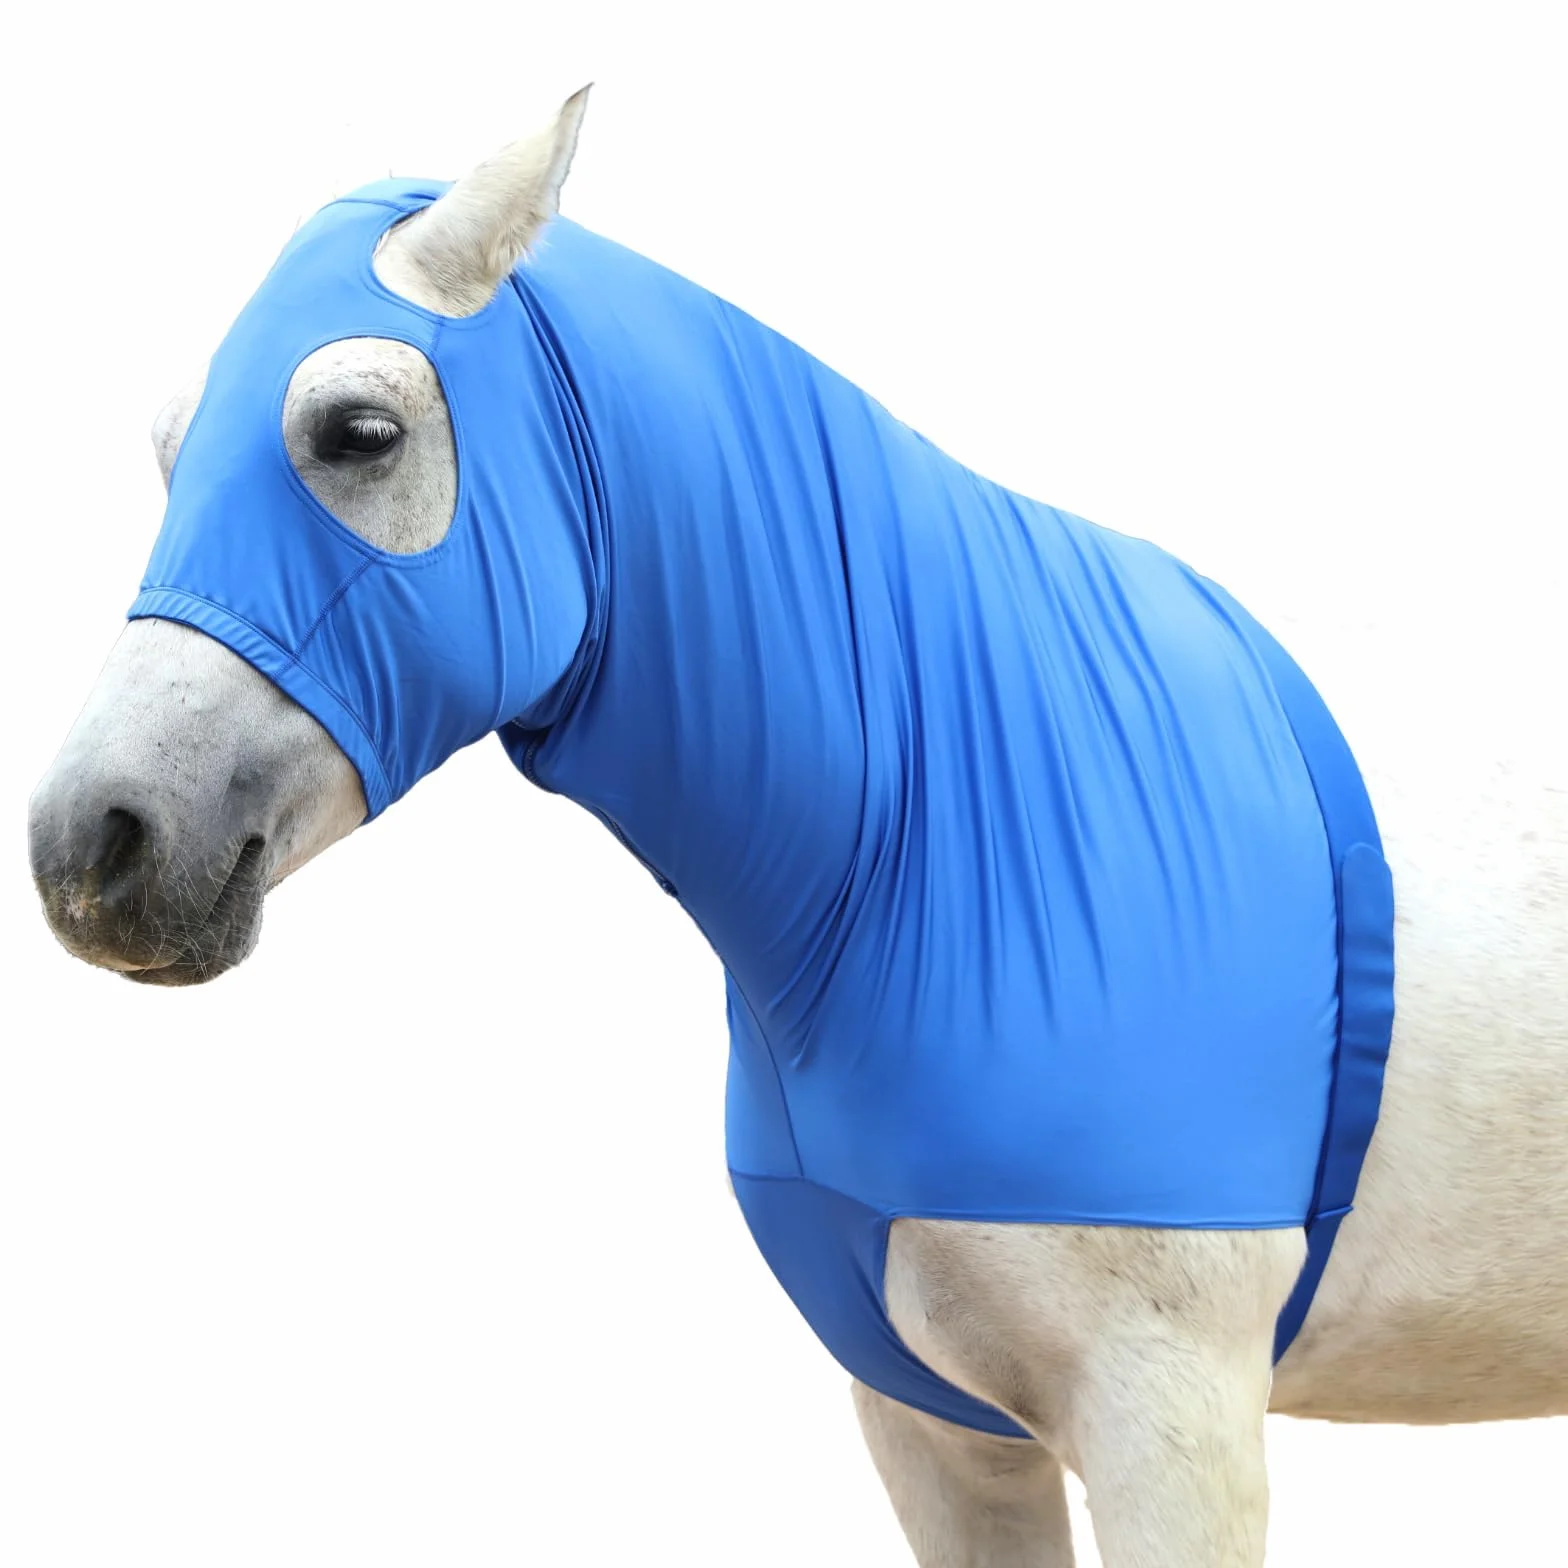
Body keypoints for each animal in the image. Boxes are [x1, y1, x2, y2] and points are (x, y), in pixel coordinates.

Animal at [27, 89, 1568, 1567]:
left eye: (356, 430)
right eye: (167, 450)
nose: (91, 846)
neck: (942, 832)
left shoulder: (1171, 1427)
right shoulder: (937, 1431)